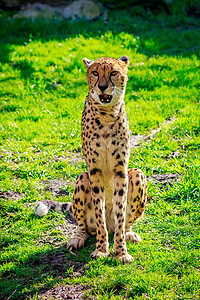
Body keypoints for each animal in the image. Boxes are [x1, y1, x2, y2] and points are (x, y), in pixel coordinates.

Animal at [35, 55, 147, 262]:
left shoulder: (121, 172)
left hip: (136, 174)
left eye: (113, 72)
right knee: (84, 227)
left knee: (124, 223)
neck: (107, 114)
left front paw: (120, 252)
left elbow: (120, 216)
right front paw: (102, 250)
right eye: (95, 72)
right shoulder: (94, 172)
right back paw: (77, 239)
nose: (102, 86)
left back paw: (129, 233)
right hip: (82, 178)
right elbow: (99, 214)